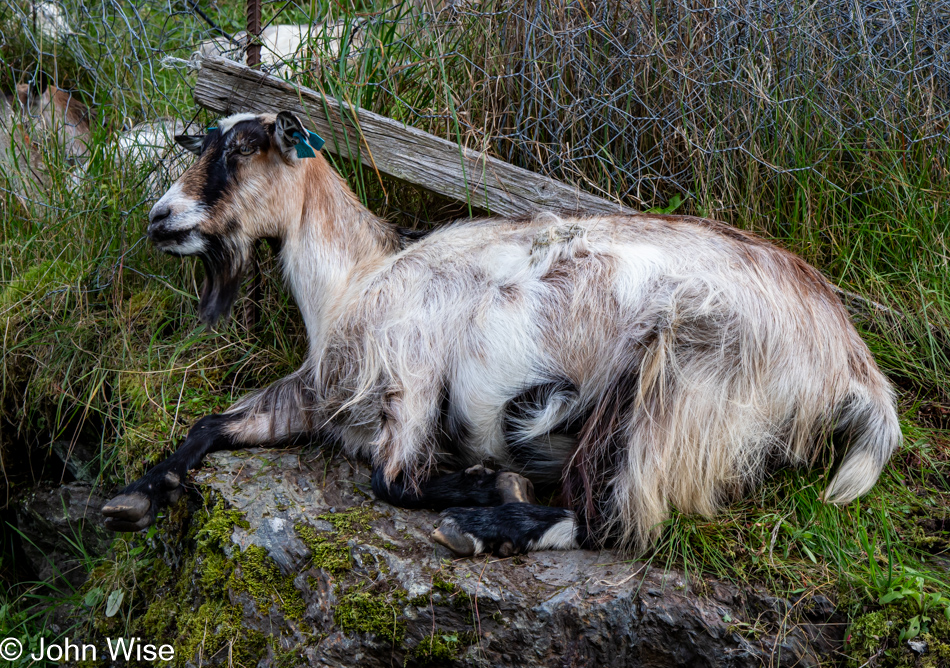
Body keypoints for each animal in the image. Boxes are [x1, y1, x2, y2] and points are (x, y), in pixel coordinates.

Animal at [100, 112, 904, 556]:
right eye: (206, 144)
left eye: (241, 150)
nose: (159, 219)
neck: (357, 278)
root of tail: (852, 364)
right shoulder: (319, 398)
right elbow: (210, 424)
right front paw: (133, 498)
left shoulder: (410, 380)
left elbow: (391, 482)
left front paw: (491, 480)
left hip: (682, 375)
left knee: (621, 520)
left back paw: (490, 524)